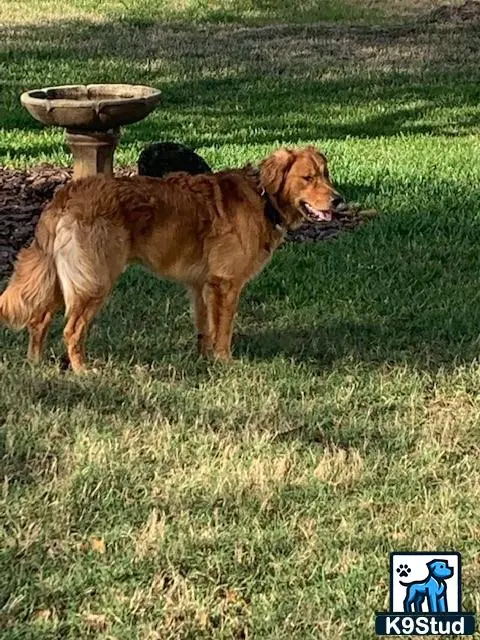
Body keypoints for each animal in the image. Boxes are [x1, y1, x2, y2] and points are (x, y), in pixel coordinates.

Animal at [0, 146, 344, 372]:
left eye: (325, 175)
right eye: (308, 178)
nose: (339, 200)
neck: (263, 197)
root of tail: (64, 195)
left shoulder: (201, 285)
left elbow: (205, 328)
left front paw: (204, 360)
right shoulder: (226, 284)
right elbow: (224, 329)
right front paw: (225, 362)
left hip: (67, 278)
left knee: (39, 319)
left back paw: (36, 363)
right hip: (94, 280)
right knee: (70, 330)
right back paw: (83, 371)